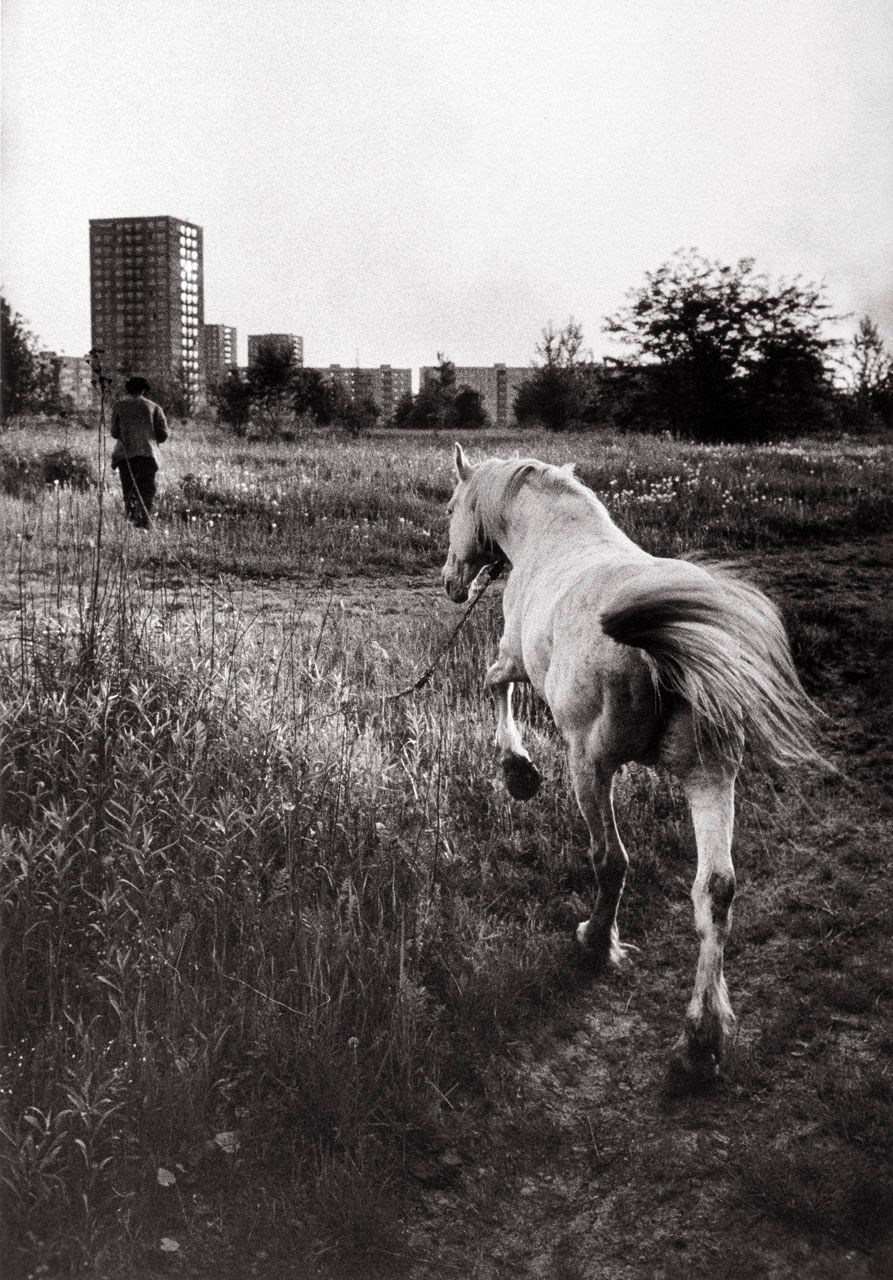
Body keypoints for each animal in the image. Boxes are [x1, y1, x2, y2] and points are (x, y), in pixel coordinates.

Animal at [441, 443, 820, 1086]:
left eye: (451, 508)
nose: (450, 583)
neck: (552, 534)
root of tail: (661, 645)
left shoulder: (513, 656)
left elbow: (494, 684)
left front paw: (518, 772)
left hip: (590, 765)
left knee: (611, 858)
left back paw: (597, 941)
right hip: (711, 775)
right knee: (715, 890)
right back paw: (700, 1042)